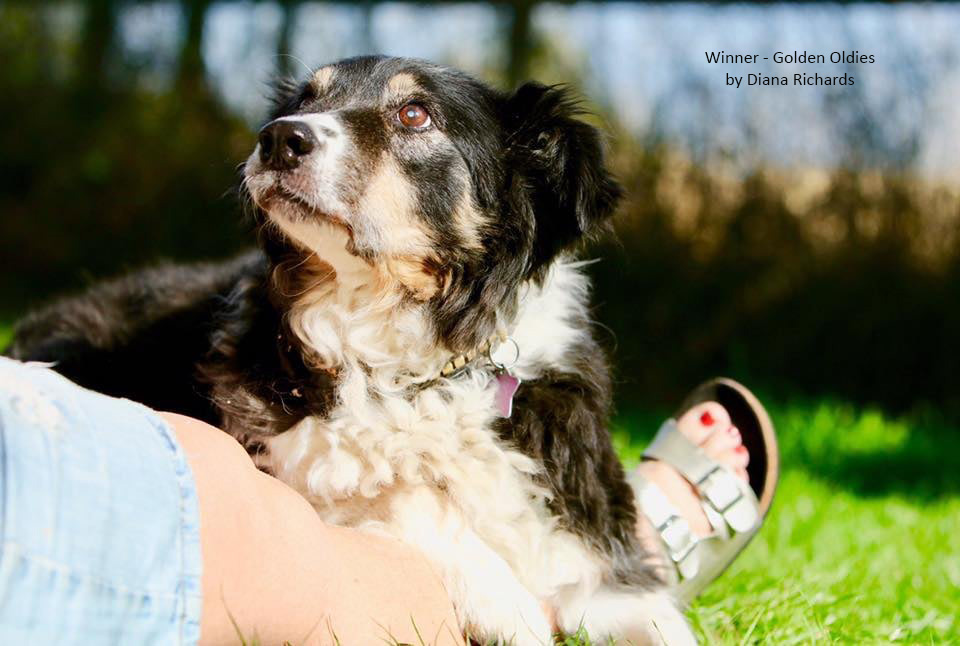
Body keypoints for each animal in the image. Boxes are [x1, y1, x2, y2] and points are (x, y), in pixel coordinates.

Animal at [7, 57, 696, 646]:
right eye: (306, 101)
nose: (278, 138)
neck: (421, 365)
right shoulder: (273, 464)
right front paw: (503, 598)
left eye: (414, 114)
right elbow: (399, 492)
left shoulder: (597, 540)